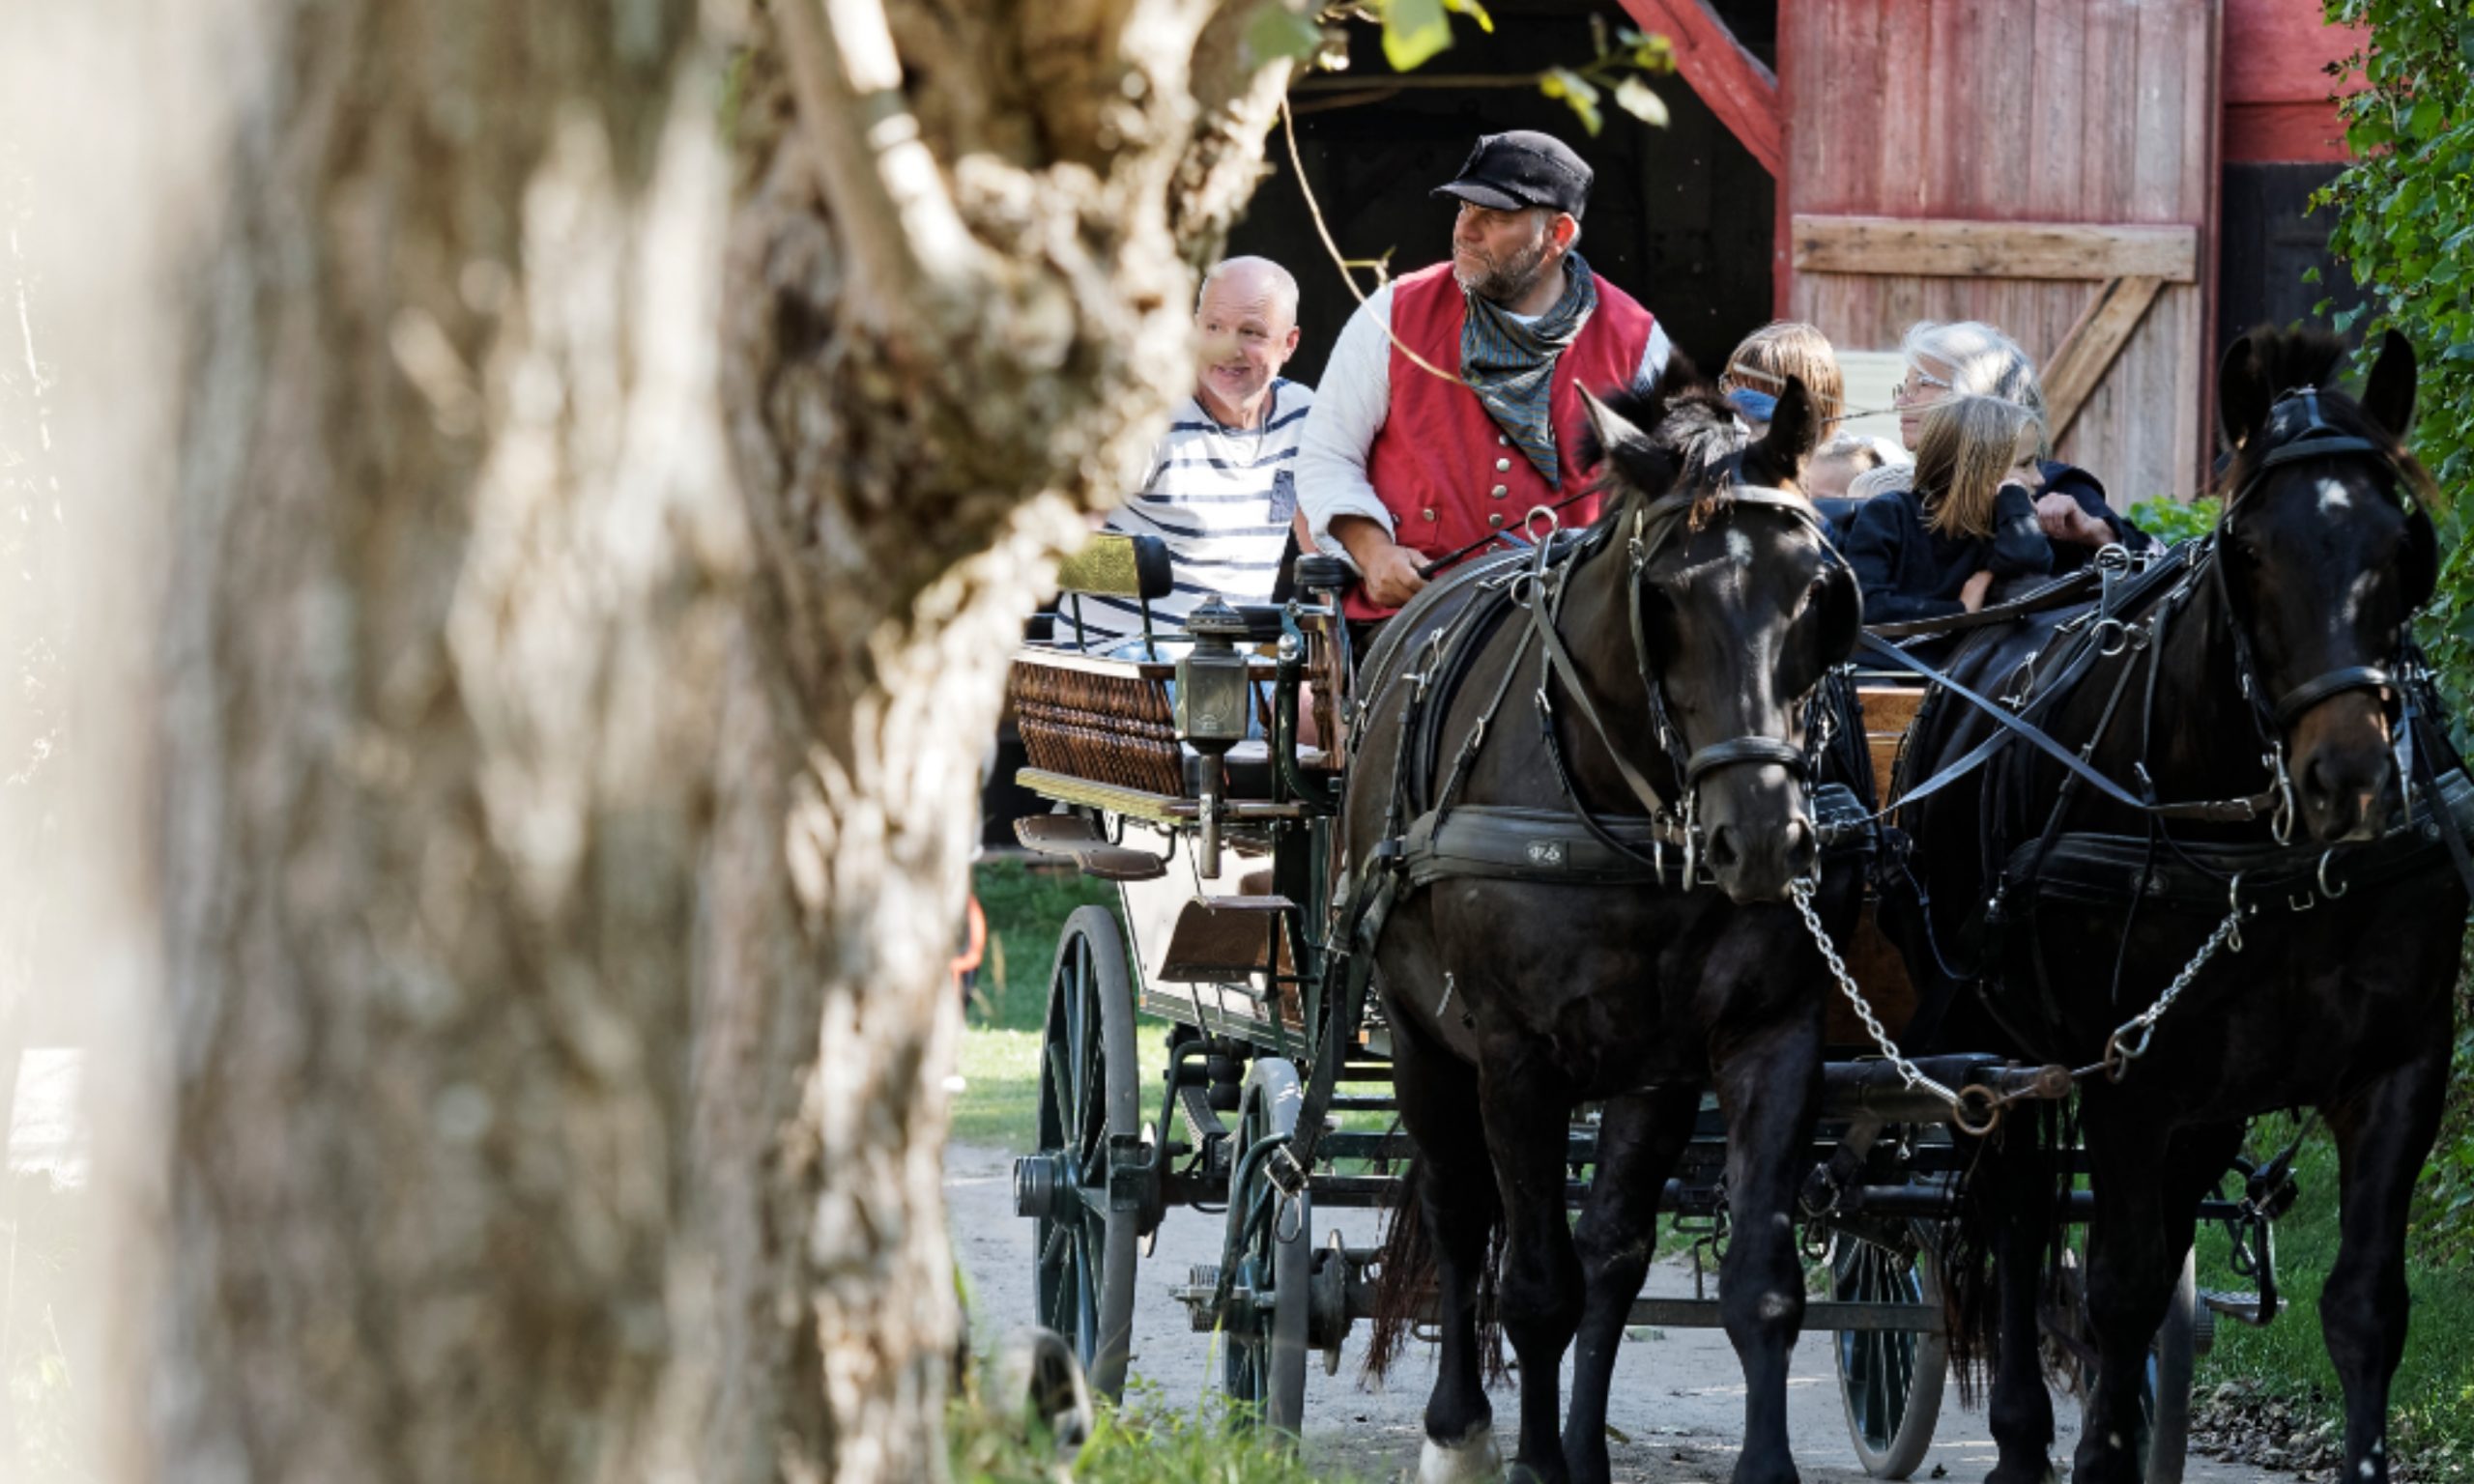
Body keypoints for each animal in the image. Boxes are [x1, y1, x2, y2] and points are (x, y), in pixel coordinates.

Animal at [1355, 373, 1860, 1484]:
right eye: (1663, 599)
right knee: (1461, 1215)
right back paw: (1460, 1430)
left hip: (1646, 1077)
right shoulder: (1514, 1057)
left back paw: (1583, 1445)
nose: (1764, 840)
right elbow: (1534, 1288)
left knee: (1612, 1254)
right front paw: (1529, 1459)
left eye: (1816, 593)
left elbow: (1757, 1287)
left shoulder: (1765, 1039)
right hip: (1419, 1041)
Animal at [1880, 331, 2463, 1484]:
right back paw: (2020, 1436)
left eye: (2403, 540)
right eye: (2246, 547)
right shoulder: (2127, 1078)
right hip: (1999, 1046)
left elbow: (2364, 1309)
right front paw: (2098, 1452)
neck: (2276, 852)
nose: (2349, 779)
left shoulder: (2395, 1068)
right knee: (2018, 1217)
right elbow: (2120, 1287)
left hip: (2204, 1090)